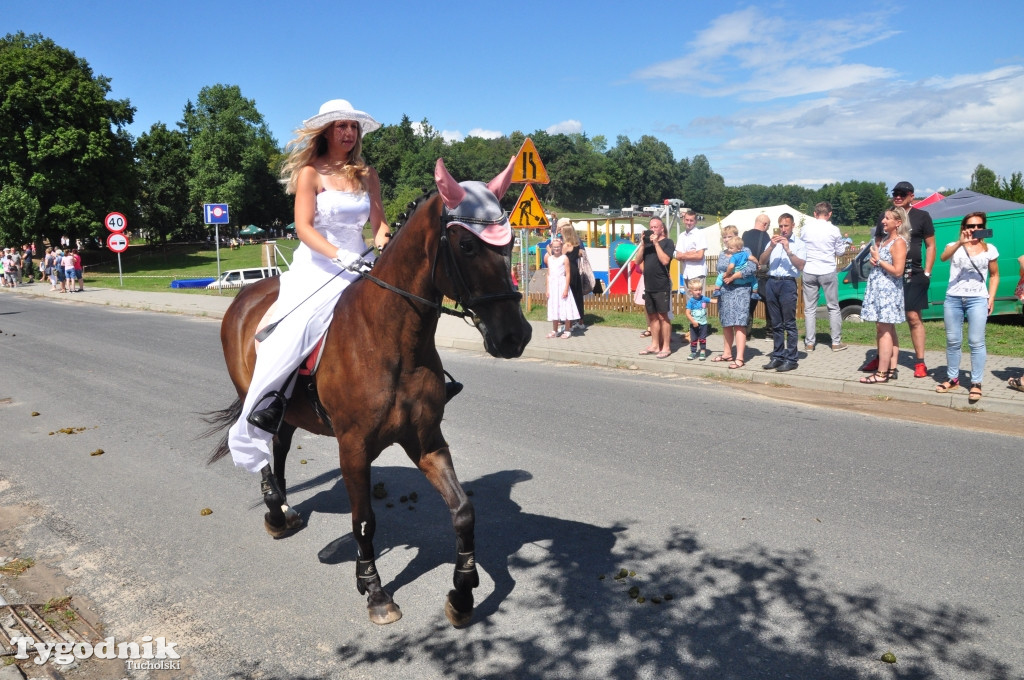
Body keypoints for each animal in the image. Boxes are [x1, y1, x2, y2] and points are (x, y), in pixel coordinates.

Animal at [204, 159, 532, 626]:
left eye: (509, 247)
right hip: (256, 394)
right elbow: (363, 521)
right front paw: (375, 591)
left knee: (280, 445)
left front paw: (463, 593)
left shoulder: (425, 440)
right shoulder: (354, 447)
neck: (392, 338)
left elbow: (463, 511)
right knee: (262, 442)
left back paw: (281, 510)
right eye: (467, 246)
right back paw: (275, 510)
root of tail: (246, 294)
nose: (514, 337)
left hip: (290, 411)